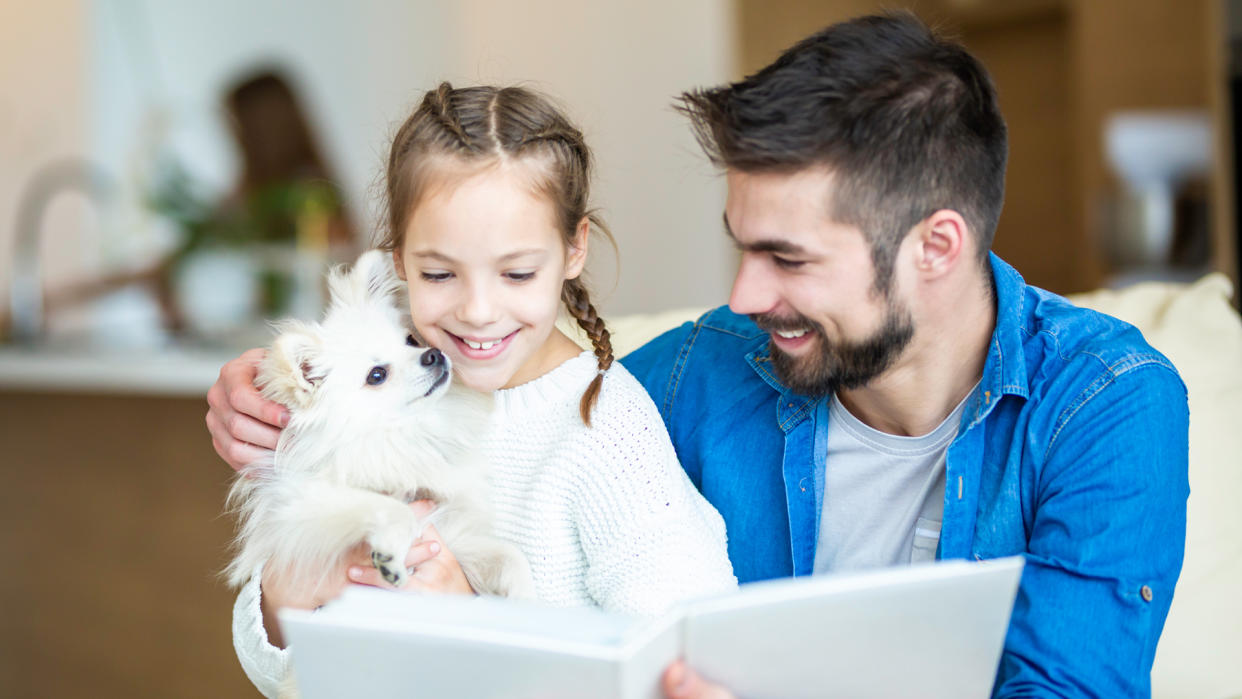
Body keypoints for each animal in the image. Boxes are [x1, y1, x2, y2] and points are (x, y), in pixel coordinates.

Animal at [226, 248, 531, 615]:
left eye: (411, 340)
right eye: (376, 375)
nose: (433, 353)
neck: (402, 435)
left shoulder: (451, 536)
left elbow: (509, 555)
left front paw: (526, 601)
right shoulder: (299, 508)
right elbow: (390, 507)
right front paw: (389, 554)